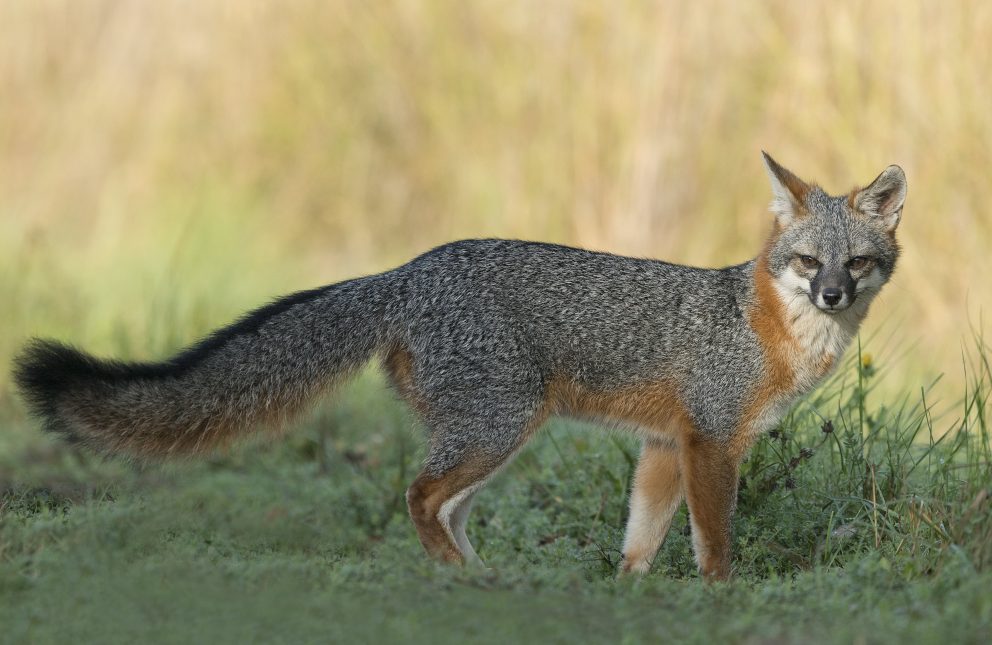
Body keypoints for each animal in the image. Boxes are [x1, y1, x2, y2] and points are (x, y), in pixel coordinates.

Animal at [12, 153, 906, 580]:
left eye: (857, 262)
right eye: (807, 261)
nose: (830, 294)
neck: (769, 327)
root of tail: (406, 269)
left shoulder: (663, 444)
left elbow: (639, 541)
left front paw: (630, 594)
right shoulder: (711, 441)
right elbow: (713, 542)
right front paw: (720, 597)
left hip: (489, 438)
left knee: (444, 508)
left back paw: (480, 579)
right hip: (497, 428)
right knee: (418, 497)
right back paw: (462, 577)